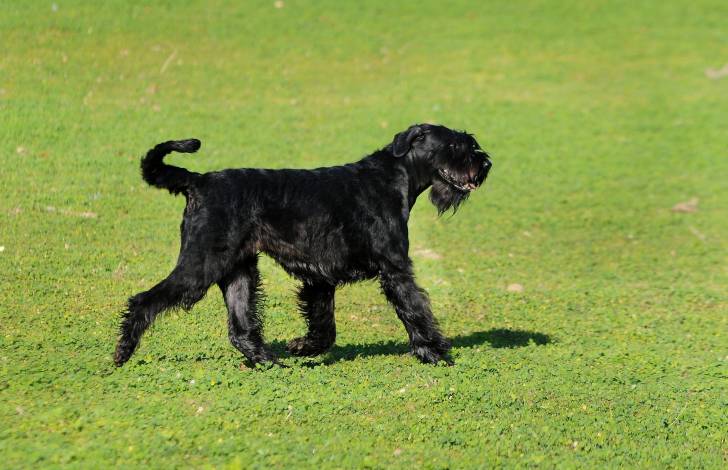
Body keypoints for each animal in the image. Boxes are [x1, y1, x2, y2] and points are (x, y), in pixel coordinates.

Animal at [114, 124, 492, 368]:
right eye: (456, 146)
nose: (485, 164)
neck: (393, 178)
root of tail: (198, 181)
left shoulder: (320, 278)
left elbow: (325, 325)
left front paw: (302, 347)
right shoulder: (395, 268)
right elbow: (414, 309)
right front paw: (435, 353)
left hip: (239, 271)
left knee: (240, 326)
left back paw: (269, 360)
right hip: (200, 265)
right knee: (143, 300)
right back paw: (122, 353)